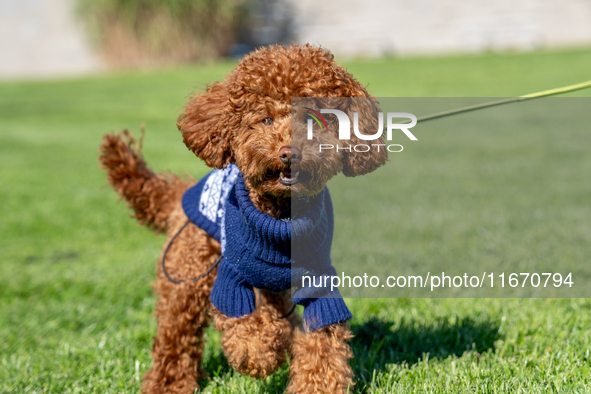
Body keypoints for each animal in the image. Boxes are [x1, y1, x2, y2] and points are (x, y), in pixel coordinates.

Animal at [99, 44, 388, 392]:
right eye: (265, 119)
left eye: (313, 119)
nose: (289, 153)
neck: (279, 219)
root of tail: (181, 193)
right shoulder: (230, 277)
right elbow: (243, 323)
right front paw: (259, 352)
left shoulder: (318, 281)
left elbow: (322, 345)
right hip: (188, 274)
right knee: (176, 336)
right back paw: (168, 384)